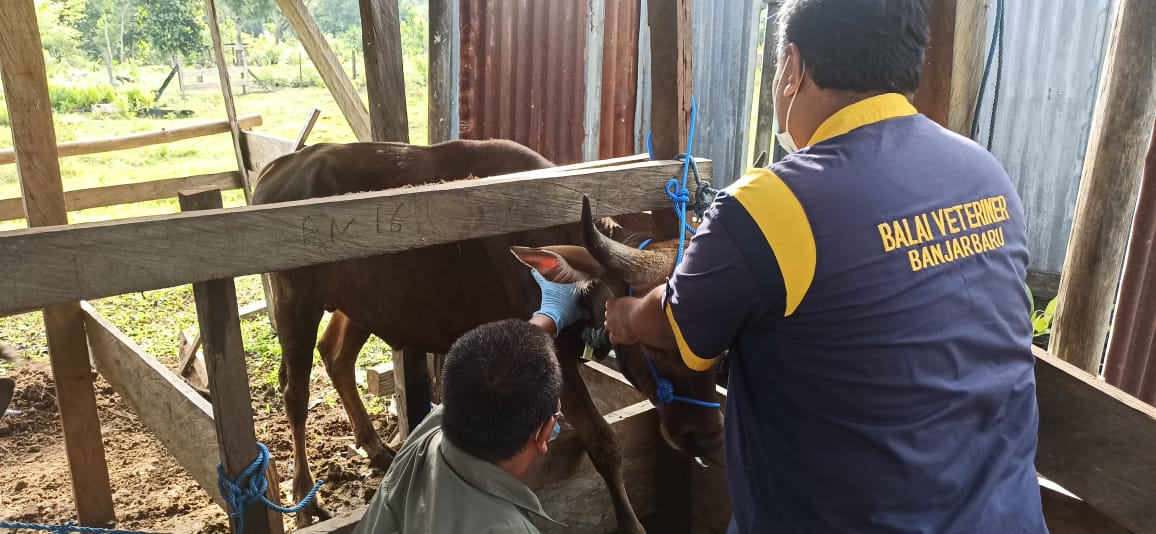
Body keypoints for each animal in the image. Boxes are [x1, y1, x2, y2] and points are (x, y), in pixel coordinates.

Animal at [253, 139, 721, 531]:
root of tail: (280, 165)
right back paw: (304, 496)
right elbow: (604, 441)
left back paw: (375, 446)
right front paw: (631, 524)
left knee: (336, 356)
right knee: (295, 392)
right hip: (294, 298)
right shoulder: (551, 355)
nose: (707, 434)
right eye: (652, 345)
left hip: (361, 305)